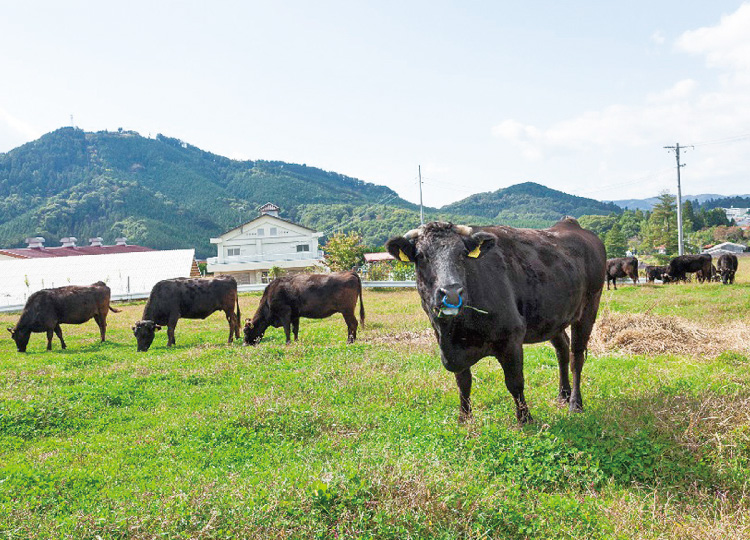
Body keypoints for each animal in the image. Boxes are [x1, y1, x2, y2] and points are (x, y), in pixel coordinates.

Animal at [384, 217, 608, 424]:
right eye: (421, 256)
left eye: (462, 254)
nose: (452, 293)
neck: (453, 333)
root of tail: (572, 224)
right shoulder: (453, 349)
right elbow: (463, 382)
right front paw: (464, 418)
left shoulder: (511, 338)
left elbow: (515, 382)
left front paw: (525, 419)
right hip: (553, 317)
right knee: (562, 350)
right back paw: (563, 395)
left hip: (589, 306)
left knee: (576, 357)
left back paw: (575, 404)